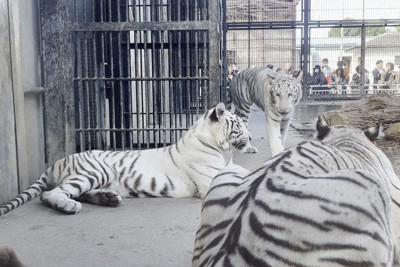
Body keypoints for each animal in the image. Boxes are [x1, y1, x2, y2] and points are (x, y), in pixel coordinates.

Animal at [0, 101, 253, 217]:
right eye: (238, 125)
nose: (251, 137)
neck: (223, 151)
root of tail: (56, 162)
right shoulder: (210, 179)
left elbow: (247, 173)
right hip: (94, 171)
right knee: (51, 194)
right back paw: (68, 206)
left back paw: (108, 198)